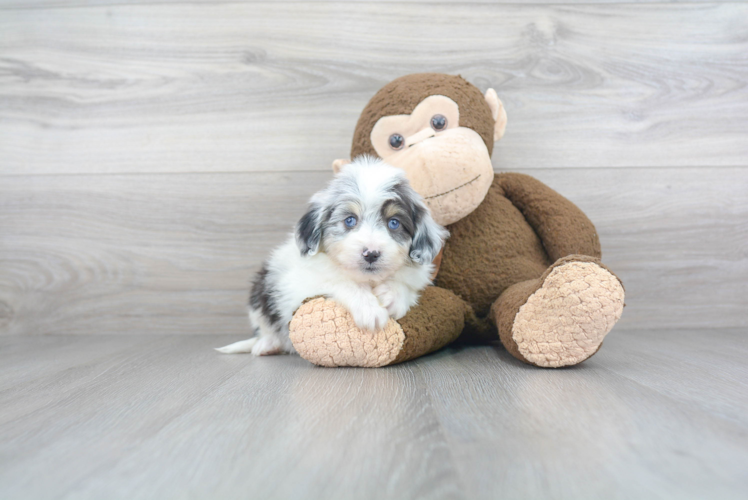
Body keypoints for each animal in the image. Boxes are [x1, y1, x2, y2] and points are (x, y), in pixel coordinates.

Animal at [216, 156, 450, 356]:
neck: (369, 280)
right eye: (350, 220)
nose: (371, 253)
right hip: (261, 290)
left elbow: (405, 285)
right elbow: (340, 282)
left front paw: (392, 295)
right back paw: (267, 345)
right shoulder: (298, 285)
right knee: (266, 326)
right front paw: (369, 310)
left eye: (394, 223)